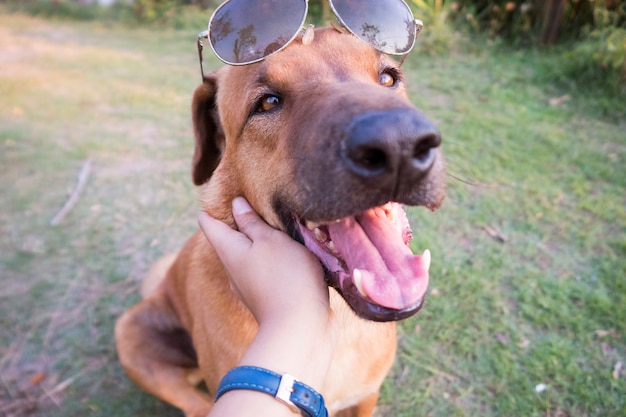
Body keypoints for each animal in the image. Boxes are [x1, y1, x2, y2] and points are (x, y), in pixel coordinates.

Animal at [113, 26, 444, 416]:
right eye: (268, 103)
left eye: (388, 78)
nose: (399, 145)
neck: (336, 325)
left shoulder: (366, 396)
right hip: (130, 332)